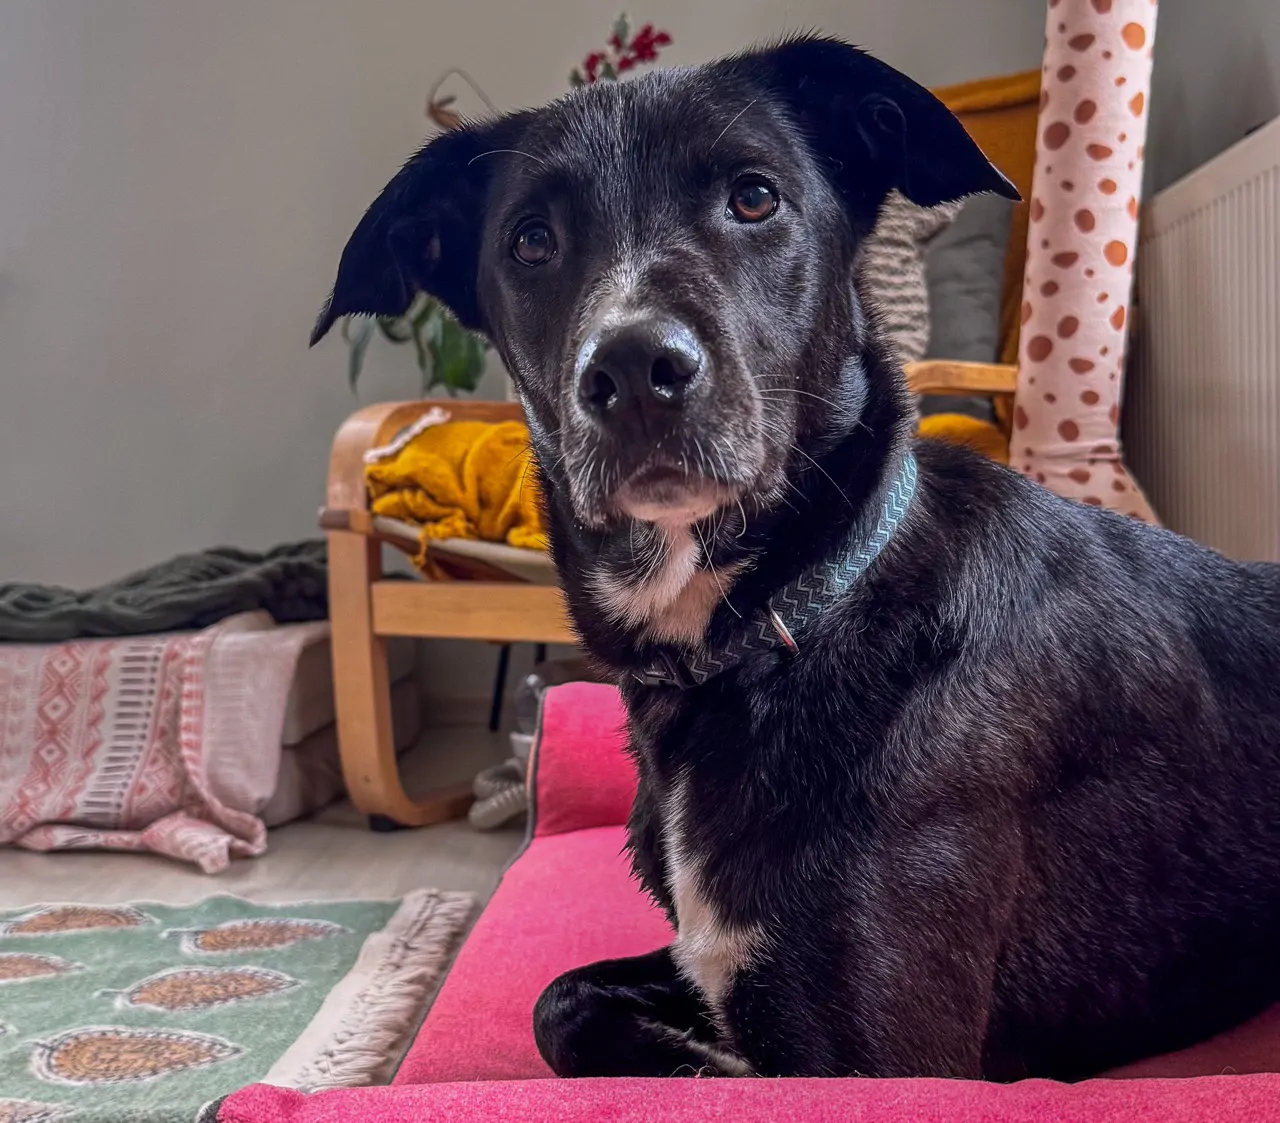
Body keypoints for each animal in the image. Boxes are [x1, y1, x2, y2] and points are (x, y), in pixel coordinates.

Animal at [312, 36, 1280, 1081]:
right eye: (530, 242)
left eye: (754, 197)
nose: (635, 372)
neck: (768, 632)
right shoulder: (707, 956)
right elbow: (558, 1001)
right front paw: (683, 1051)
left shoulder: (887, 1057)